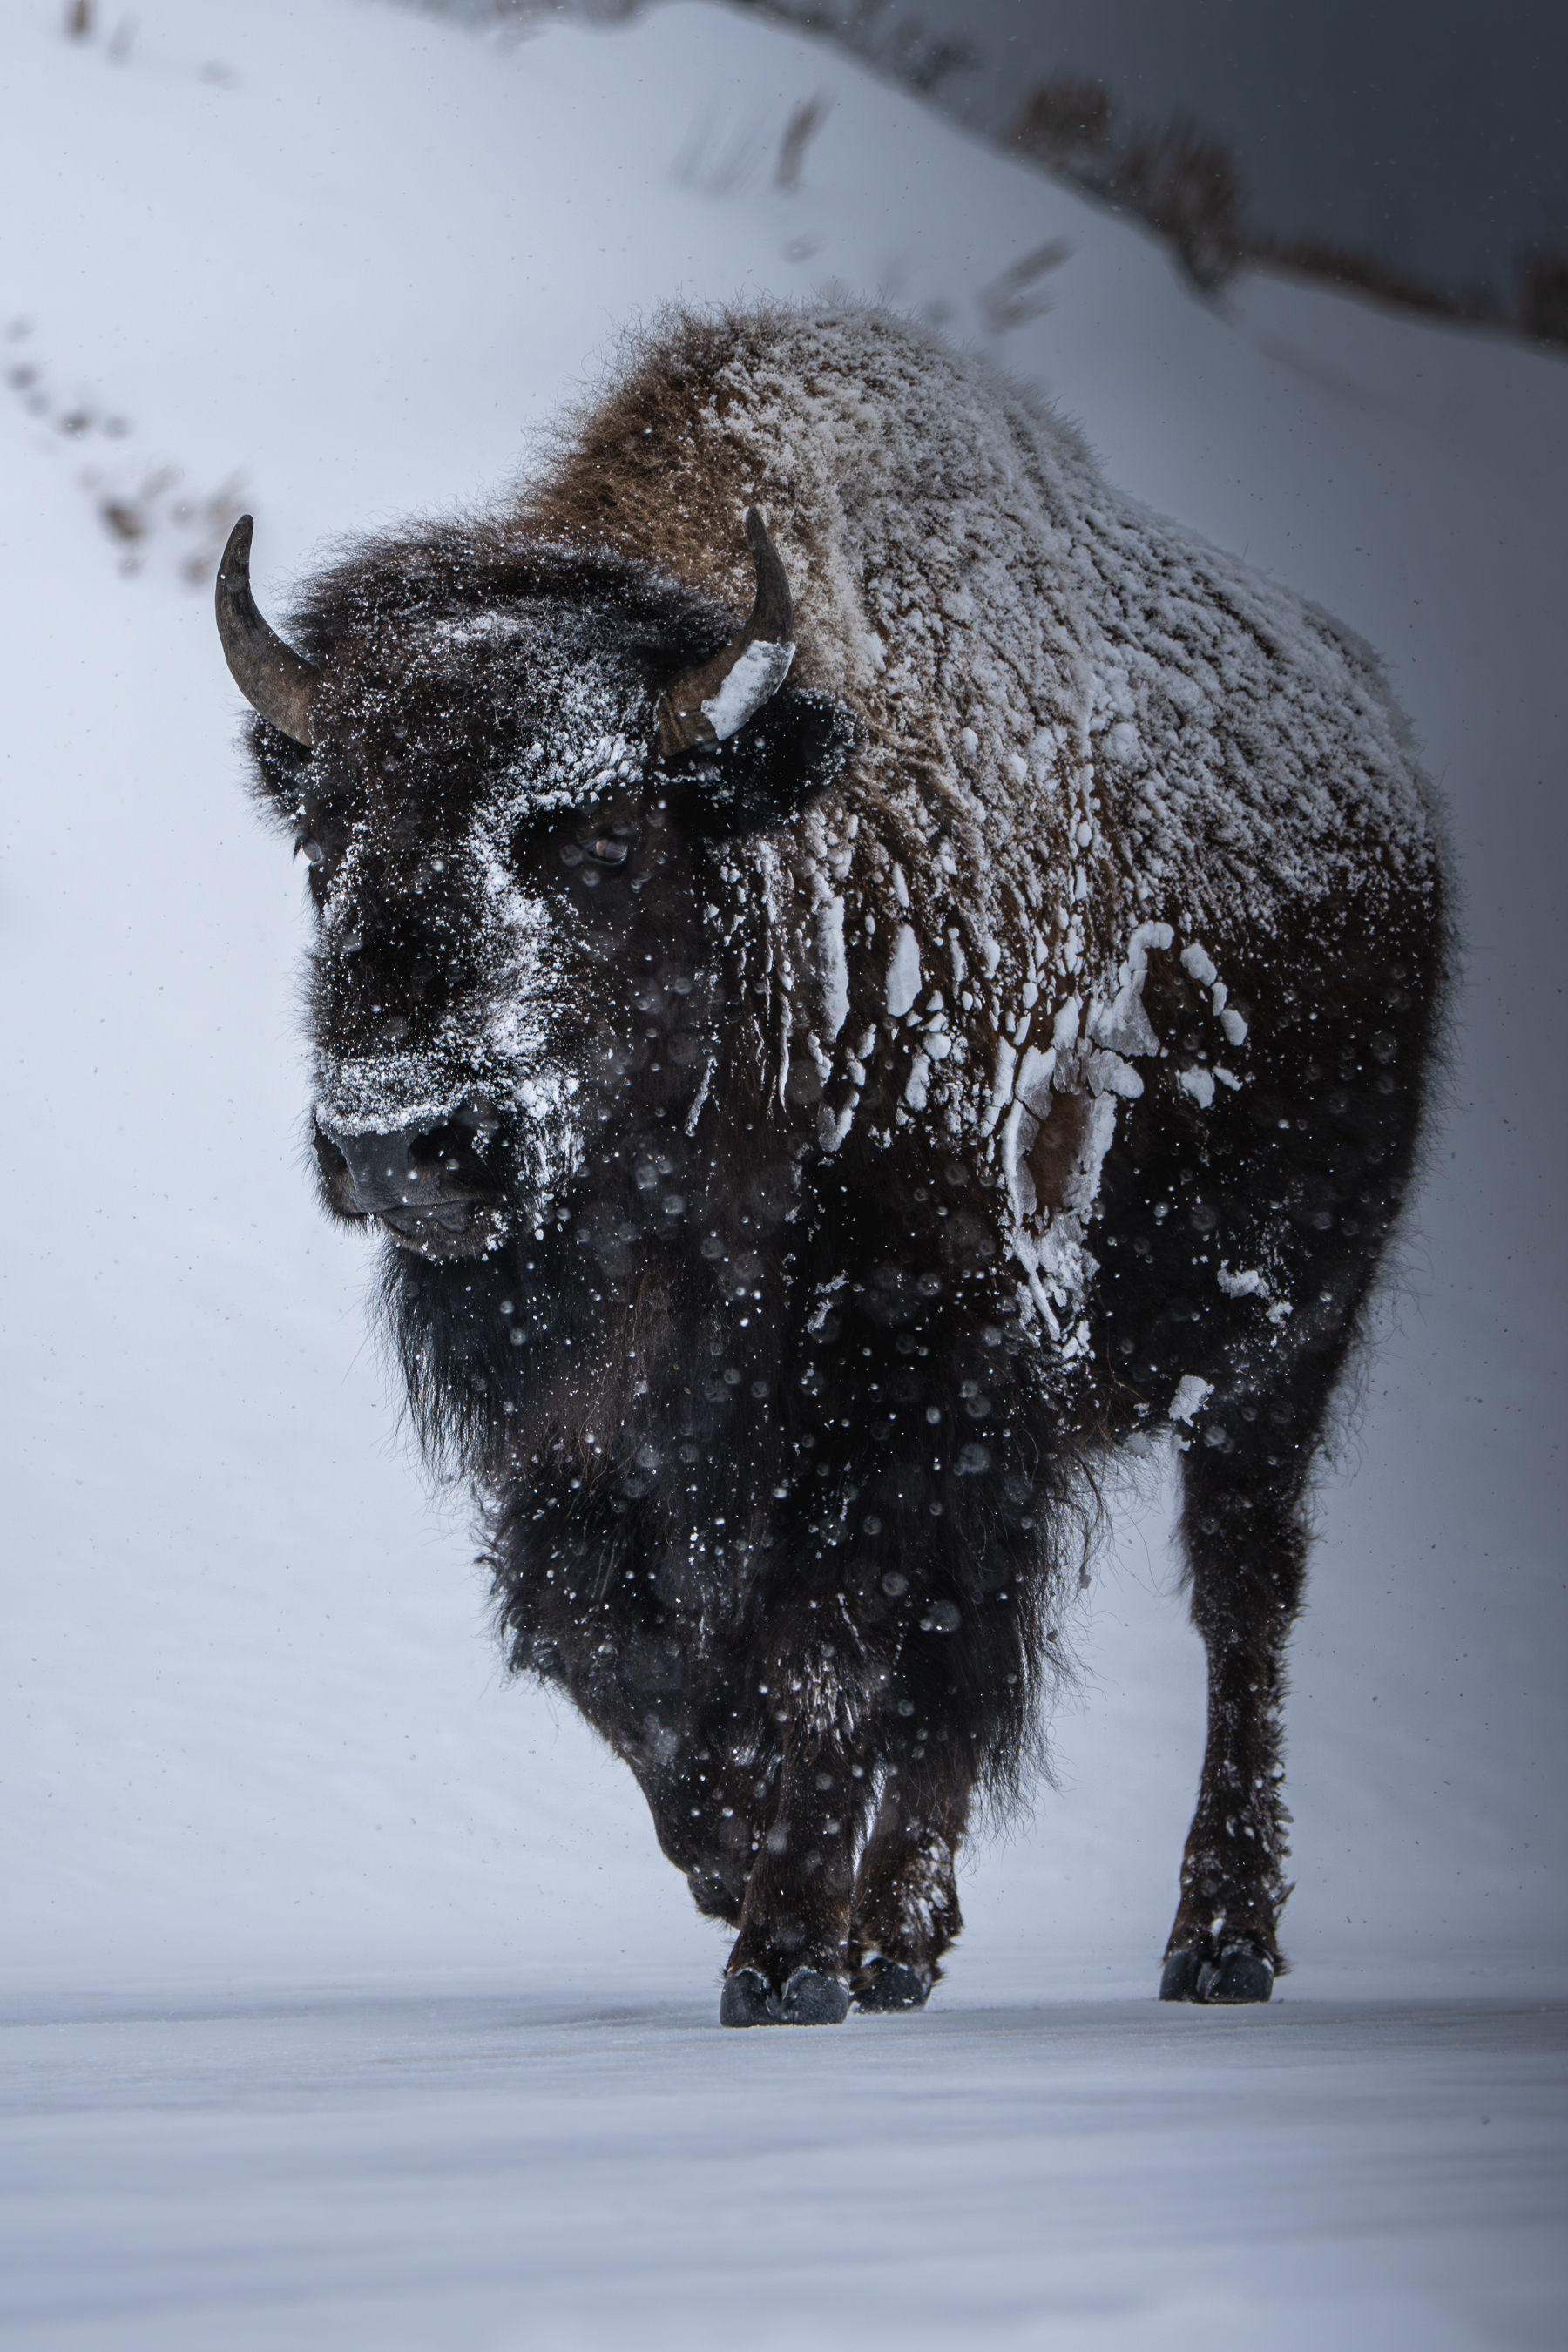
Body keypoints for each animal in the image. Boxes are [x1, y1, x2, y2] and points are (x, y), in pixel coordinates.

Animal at [217, 302, 1447, 2023]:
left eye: (597, 835)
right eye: (323, 840)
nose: (401, 1140)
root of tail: (1384, 763)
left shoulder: (909, 1385)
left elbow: (830, 1649)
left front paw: (784, 1944)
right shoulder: (584, 1422)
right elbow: (611, 1633)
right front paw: (748, 1872)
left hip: (1281, 1342)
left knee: (1236, 1599)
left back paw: (1216, 1939)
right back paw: (905, 1937)